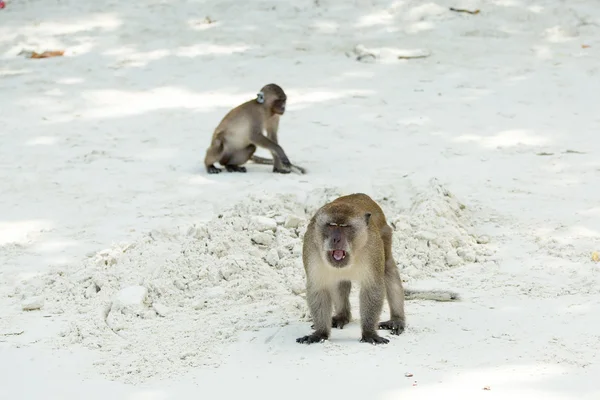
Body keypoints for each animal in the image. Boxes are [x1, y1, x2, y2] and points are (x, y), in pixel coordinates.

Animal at [296, 193, 460, 344]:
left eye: (345, 227)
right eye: (331, 225)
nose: (336, 239)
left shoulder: (373, 249)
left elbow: (372, 287)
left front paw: (369, 332)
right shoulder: (311, 248)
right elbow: (318, 288)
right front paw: (321, 333)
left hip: (386, 237)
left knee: (388, 271)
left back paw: (396, 319)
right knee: (339, 281)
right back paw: (343, 315)